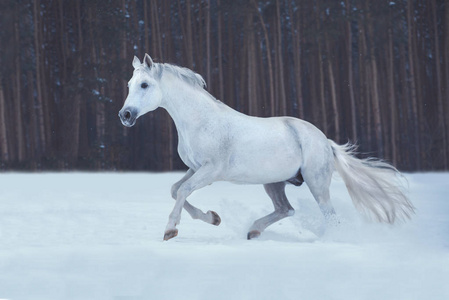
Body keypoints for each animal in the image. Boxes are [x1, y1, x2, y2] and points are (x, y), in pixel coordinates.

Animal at [119, 54, 412, 241]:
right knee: (286, 209)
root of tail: (325, 142)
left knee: (329, 216)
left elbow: (183, 191)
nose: (125, 115)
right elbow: (175, 189)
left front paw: (170, 230)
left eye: (145, 84)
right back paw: (253, 231)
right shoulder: (195, 168)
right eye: (129, 85)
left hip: (317, 183)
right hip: (274, 182)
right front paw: (213, 218)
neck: (200, 120)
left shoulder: (212, 171)